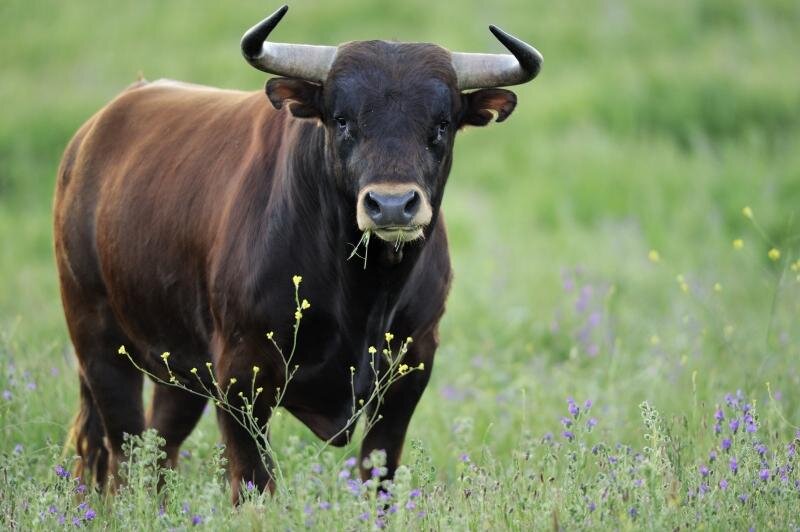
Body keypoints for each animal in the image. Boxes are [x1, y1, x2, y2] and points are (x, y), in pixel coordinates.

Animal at [53, 5, 540, 502]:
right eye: (343, 120)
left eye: (441, 124)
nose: (391, 204)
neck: (363, 293)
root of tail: (91, 135)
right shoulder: (240, 375)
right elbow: (253, 483)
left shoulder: (412, 367)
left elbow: (378, 472)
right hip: (98, 342)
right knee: (122, 456)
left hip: (178, 368)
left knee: (159, 449)